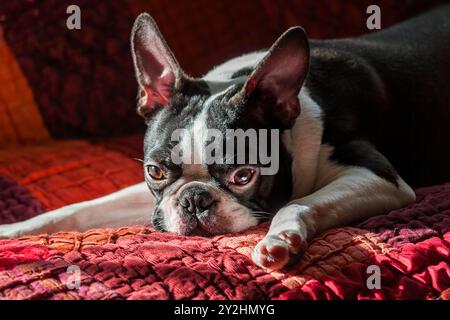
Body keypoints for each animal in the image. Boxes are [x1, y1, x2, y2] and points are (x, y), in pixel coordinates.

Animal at [0, 6, 450, 268]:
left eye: (243, 176)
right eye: (155, 172)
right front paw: (14, 229)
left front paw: (281, 239)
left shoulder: (378, 177)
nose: (194, 199)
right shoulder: (151, 197)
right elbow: (77, 209)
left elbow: (299, 202)